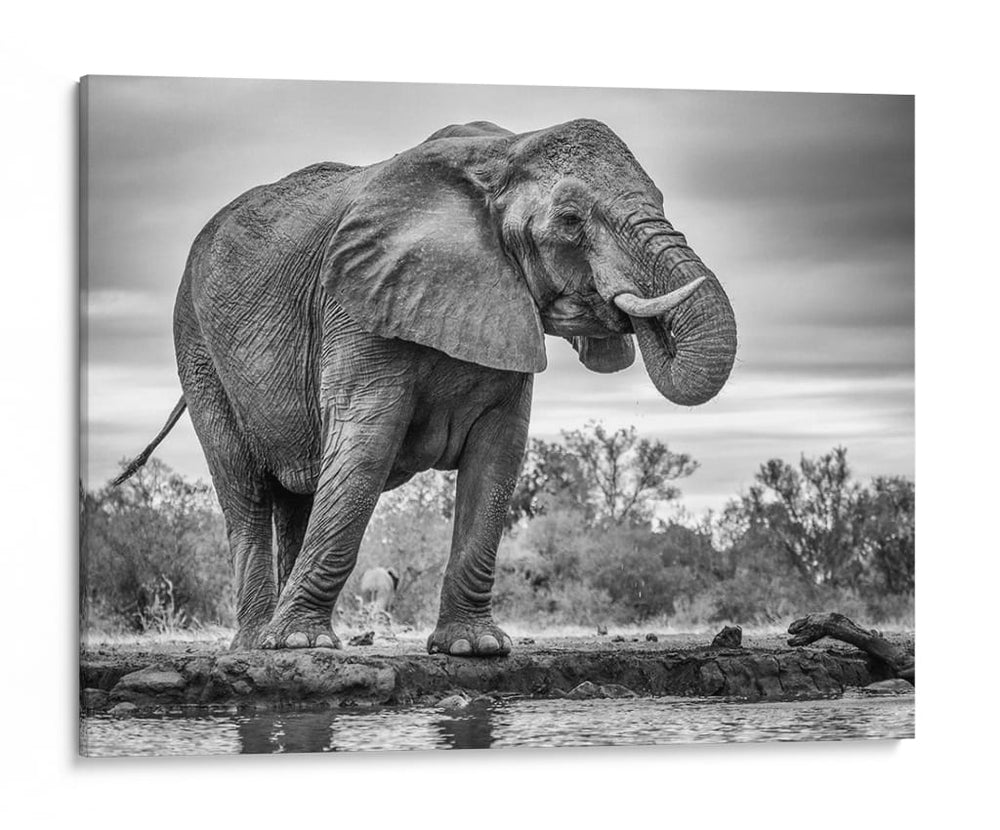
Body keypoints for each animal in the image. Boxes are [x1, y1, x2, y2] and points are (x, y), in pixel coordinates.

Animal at [115, 118, 737, 656]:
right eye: (569, 219)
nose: (630, 313)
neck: (504, 151)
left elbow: (498, 458)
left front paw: (474, 648)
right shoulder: (355, 303)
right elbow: (365, 448)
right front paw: (298, 646)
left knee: (297, 495)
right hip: (197, 346)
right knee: (245, 491)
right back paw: (256, 644)